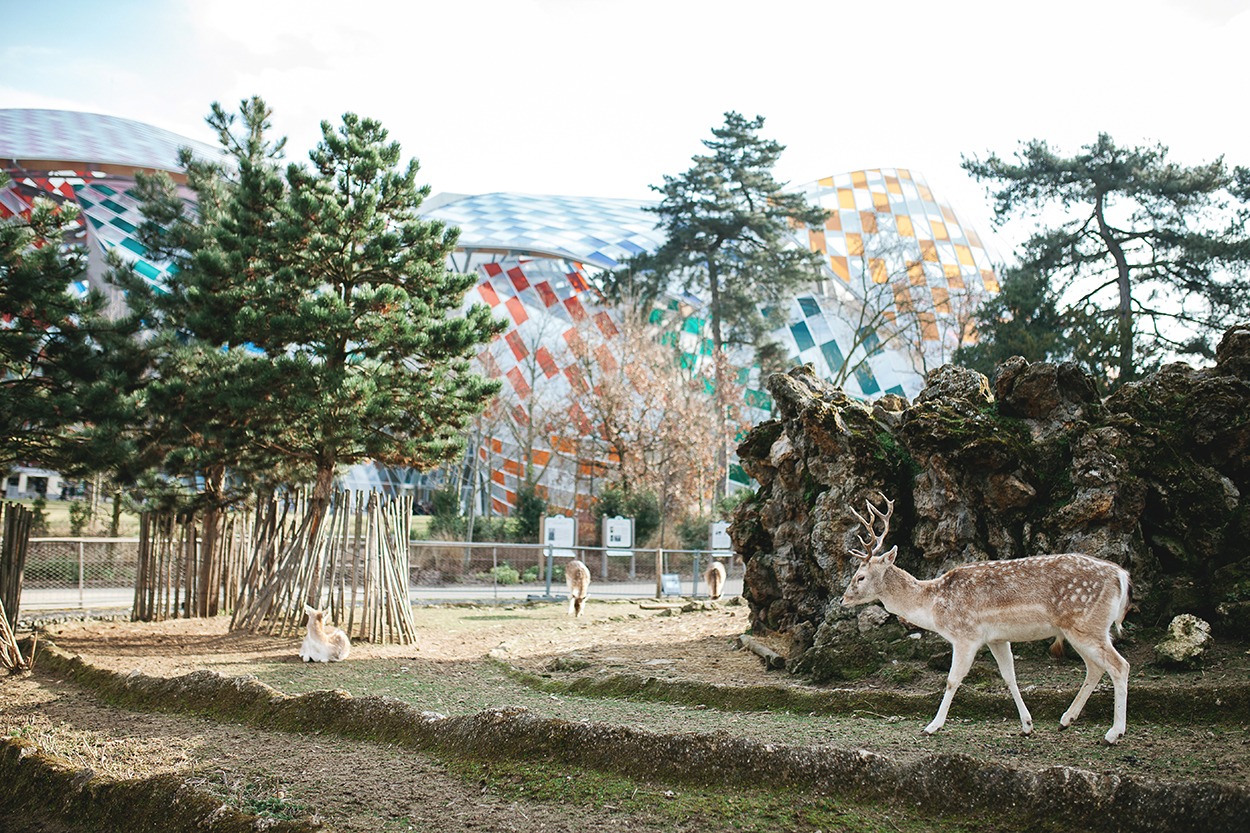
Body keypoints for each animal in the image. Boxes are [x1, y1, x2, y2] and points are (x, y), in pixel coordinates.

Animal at [840, 492, 1135, 740]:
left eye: (860, 576)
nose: (843, 600)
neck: (934, 606)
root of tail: (1121, 576)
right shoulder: (996, 638)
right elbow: (1009, 677)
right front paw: (1027, 725)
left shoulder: (966, 635)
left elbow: (952, 680)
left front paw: (932, 726)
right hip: (1083, 629)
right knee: (1095, 668)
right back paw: (1066, 720)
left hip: (1086, 624)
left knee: (1119, 665)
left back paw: (1114, 733)